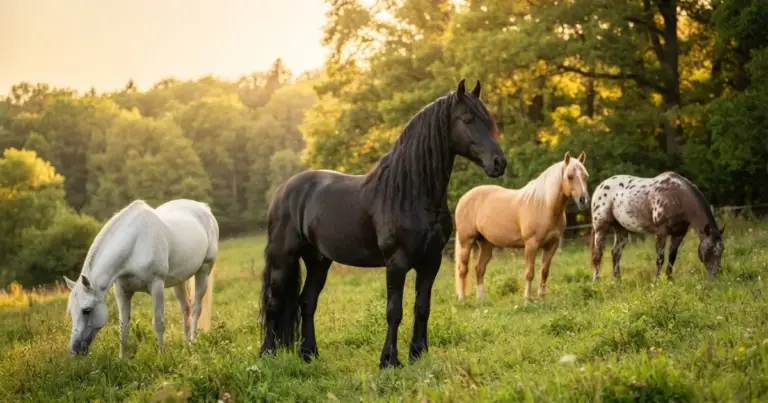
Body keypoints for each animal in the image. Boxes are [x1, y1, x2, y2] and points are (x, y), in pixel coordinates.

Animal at [64, 199, 219, 357]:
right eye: (71, 312)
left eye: (87, 310)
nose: (74, 350)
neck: (134, 244)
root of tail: (203, 207)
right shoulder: (122, 291)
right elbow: (123, 325)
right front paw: (122, 358)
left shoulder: (157, 285)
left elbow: (158, 322)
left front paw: (160, 356)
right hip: (179, 280)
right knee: (185, 308)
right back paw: (186, 345)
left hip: (204, 270)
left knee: (196, 308)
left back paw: (193, 343)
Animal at [259, 79, 507, 369]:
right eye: (467, 119)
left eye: (487, 119)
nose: (499, 162)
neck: (410, 193)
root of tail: (283, 190)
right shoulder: (396, 262)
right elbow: (394, 310)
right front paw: (390, 360)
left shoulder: (430, 261)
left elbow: (422, 307)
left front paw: (418, 354)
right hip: (283, 259)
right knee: (274, 303)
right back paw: (266, 355)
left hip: (318, 261)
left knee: (306, 302)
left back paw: (310, 355)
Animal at [454, 151, 590, 301]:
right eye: (570, 176)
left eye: (585, 176)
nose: (583, 200)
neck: (544, 205)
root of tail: (464, 198)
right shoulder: (531, 244)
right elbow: (529, 273)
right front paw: (527, 299)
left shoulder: (551, 245)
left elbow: (544, 271)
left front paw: (542, 297)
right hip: (466, 242)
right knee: (462, 269)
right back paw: (462, 299)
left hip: (486, 244)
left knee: (479, 268)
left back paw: (480, 300)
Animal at [590, 172, 725, 282]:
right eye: (709, 249)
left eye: (722, 250)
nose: (716, 275)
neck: (678, 197)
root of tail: (600, 186)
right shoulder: (661, 232)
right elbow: (660, 258)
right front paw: (657, 281)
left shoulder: (679, 234)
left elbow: (672, 257)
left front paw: (669, 279)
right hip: (600, 226)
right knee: (598, 255)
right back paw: (596, 281)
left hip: (621, 229)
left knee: (616, 253)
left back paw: (617, 280)